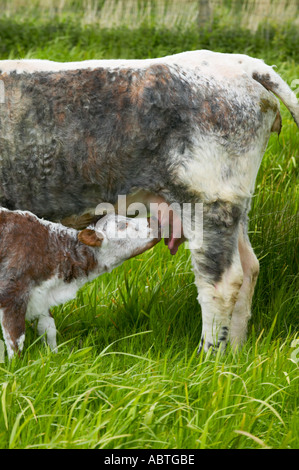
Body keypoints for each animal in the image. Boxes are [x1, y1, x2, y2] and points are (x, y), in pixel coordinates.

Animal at [0, 207, 161, 358]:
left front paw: (54, 355)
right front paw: (16, 364)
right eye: (122, 225)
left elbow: (49, 328)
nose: (154, 220)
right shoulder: (12, 291)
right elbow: (16, 339)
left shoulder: (41, 295)